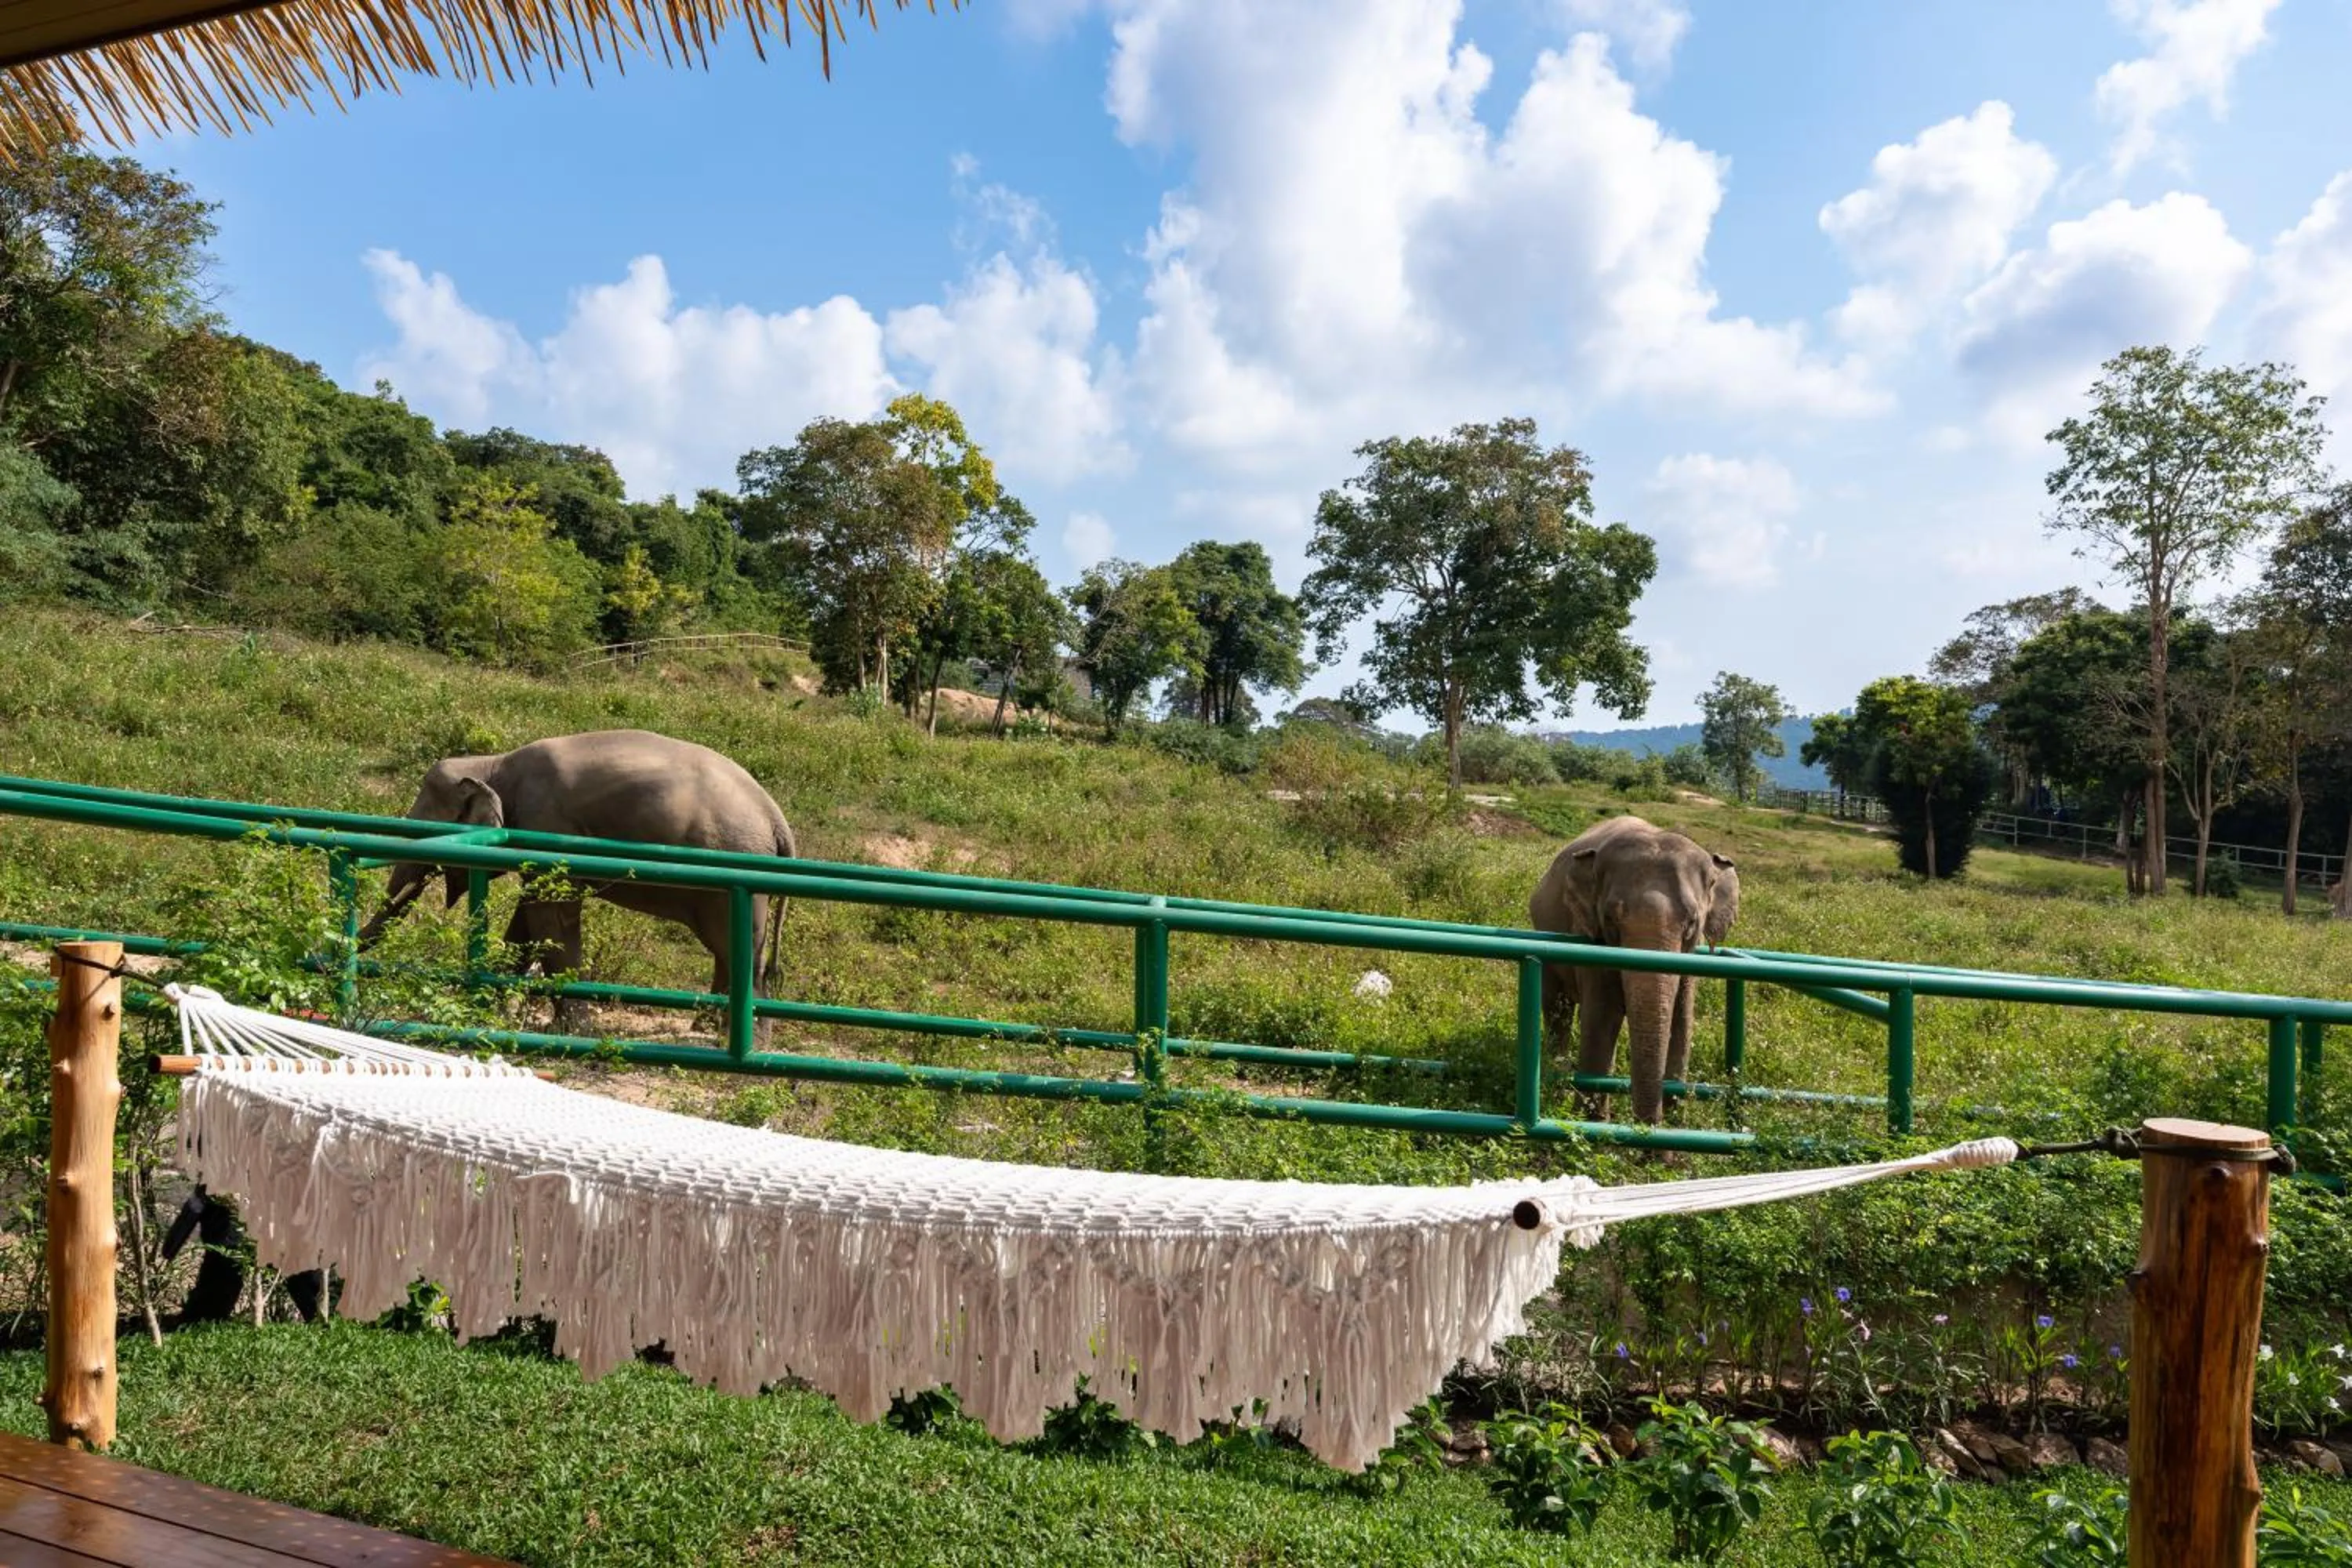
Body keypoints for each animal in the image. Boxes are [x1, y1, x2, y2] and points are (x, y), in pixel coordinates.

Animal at [360, 730, 799, 1028]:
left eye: (424, 823)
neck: (493, 763)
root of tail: (777, 819)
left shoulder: (546, 821)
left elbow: (552, 917)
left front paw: (573, 1029)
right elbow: (530, 917)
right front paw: (492, 1009)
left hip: (738, 872)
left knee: (739, 950)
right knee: (729, 949)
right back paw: (704, 1028)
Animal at [1528, 815, 1739, 1126]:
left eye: (1692, 922)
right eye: (1610, 919)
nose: (1648, 1126)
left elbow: (1682, 1019)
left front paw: (1675, 1123)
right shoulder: (1592, 938)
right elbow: (1602, 1016)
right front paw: (1595, 1124)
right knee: (1558, 1008)